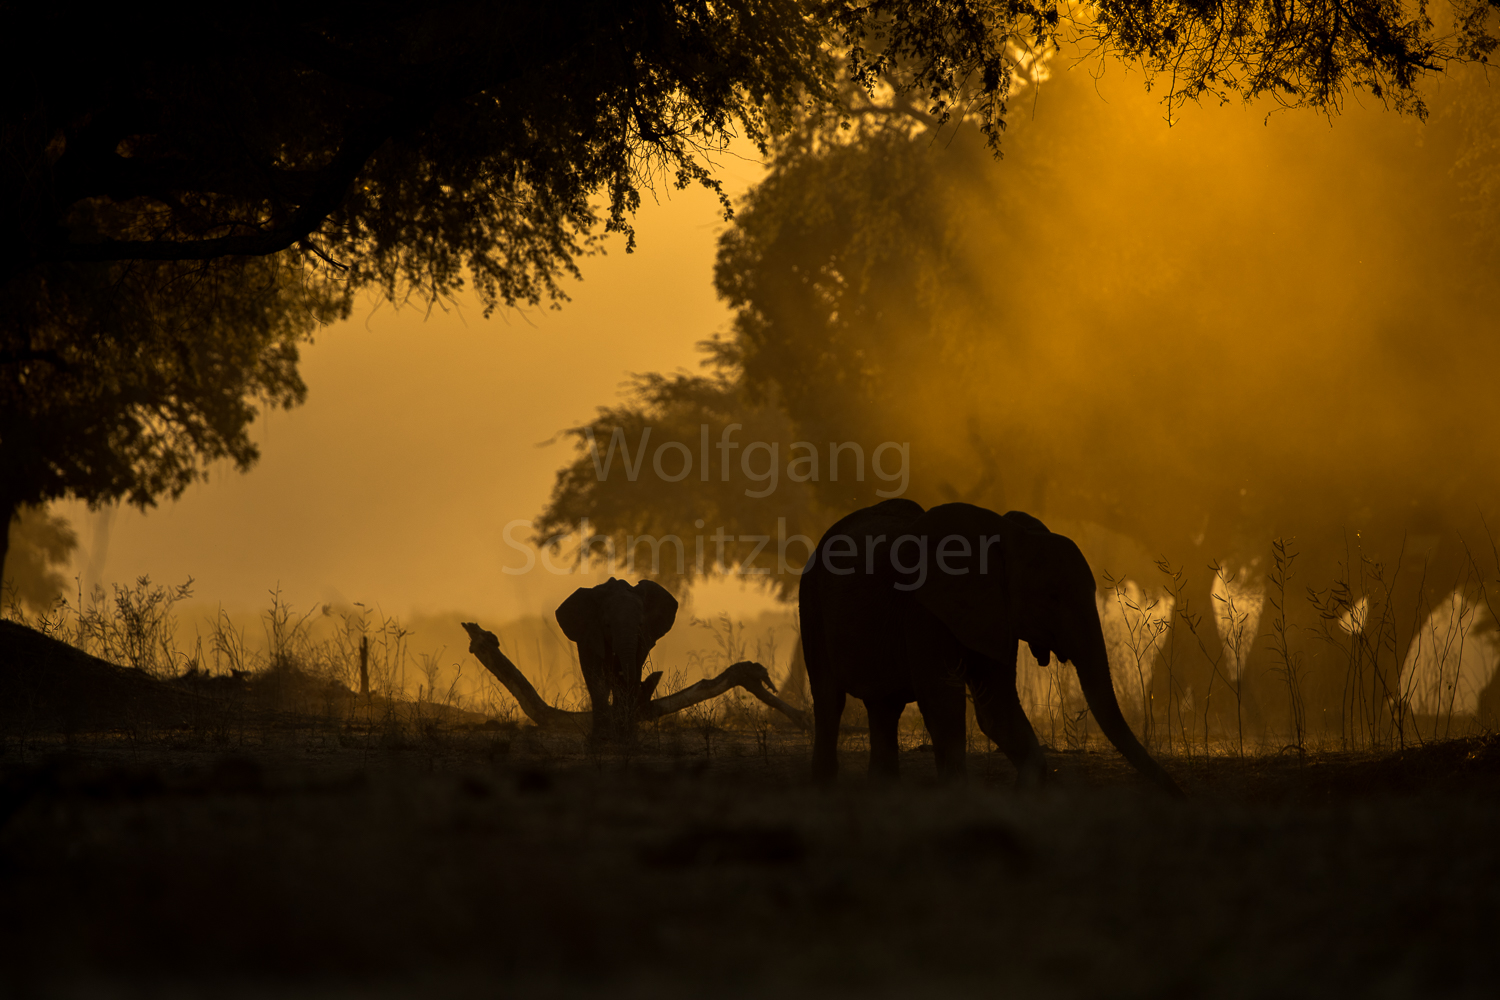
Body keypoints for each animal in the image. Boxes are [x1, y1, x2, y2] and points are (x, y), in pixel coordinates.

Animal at [558, 575, 681, 740]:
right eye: (607, 625)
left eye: (641, 624)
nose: (644, 684)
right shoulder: (591, 635)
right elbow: (596, 676)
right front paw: (602, 738)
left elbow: (630, 673)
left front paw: (625, 737)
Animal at [798, 500, 1182, 797]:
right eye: (1052, 597)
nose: (1178, 792)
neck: (1008, 538)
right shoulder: (923, 609)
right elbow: (942, 700)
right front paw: (956, 793)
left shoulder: (995, 613)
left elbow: (996, 706)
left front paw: (1023, 792)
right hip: (810, 597)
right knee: (830, 698)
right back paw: (825, 788)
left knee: (884, 706)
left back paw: (884, 791)